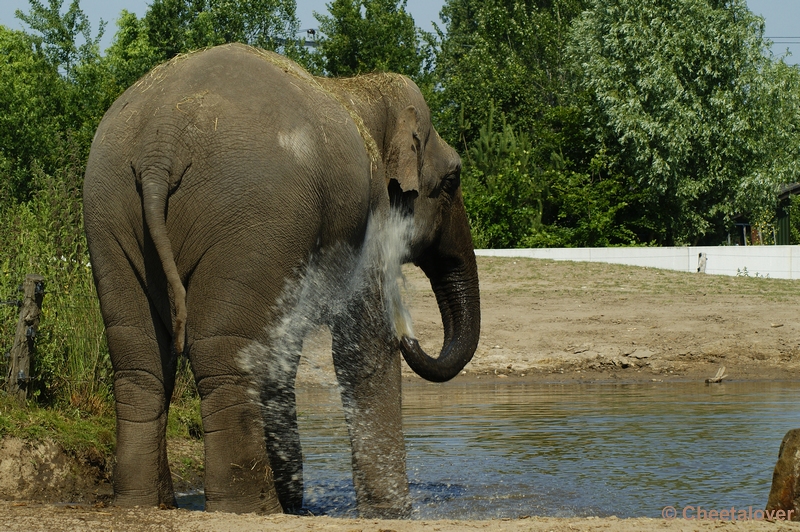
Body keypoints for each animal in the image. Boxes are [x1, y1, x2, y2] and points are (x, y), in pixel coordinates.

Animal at [82, 43, 482, 516]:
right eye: (453, 180)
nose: (412, 337)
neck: (359, 89)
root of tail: (162, 141)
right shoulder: (369, 218)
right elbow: (363, 345)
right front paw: (394, 513)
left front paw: (301, 504)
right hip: (248, 217)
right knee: (226, 357)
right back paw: (250, 508)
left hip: (110, 210)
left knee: (139, 356)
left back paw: (146, 503)